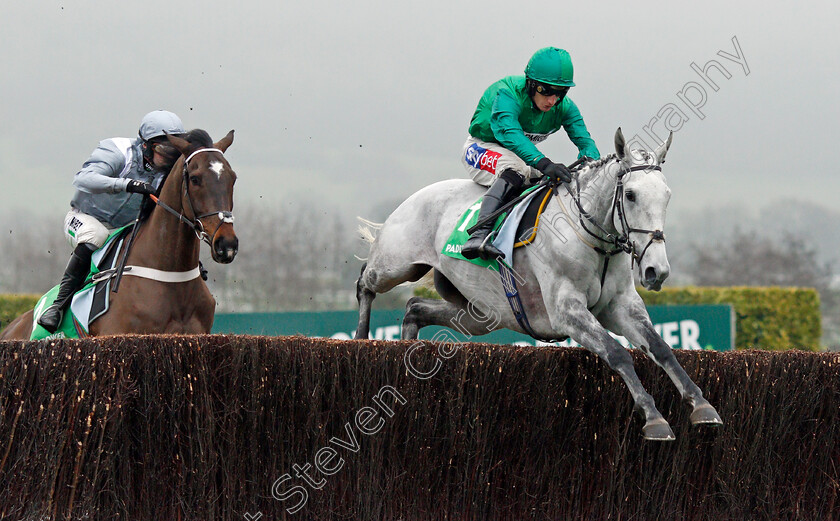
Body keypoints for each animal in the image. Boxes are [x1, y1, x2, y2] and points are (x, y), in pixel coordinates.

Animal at [0, 126, 236, 338]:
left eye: (233, 178)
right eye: (195, 179)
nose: (227, 245)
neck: (170, 277)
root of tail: (11, 327)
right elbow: (88, 174)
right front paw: (137, 185)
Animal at [354, 127, 720, 438]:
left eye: (667, 196)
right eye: (630, 195)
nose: (657, 270)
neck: (591, 238)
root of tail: (416, 196)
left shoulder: (621, 306)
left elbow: (660, 348)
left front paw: (702, 405)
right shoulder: (566, 311)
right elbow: (617, 353)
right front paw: (654, 418)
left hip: (479, 314)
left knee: (415, 307)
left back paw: (405, 351)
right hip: (396, 264)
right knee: (365, 283)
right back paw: (360, 339)